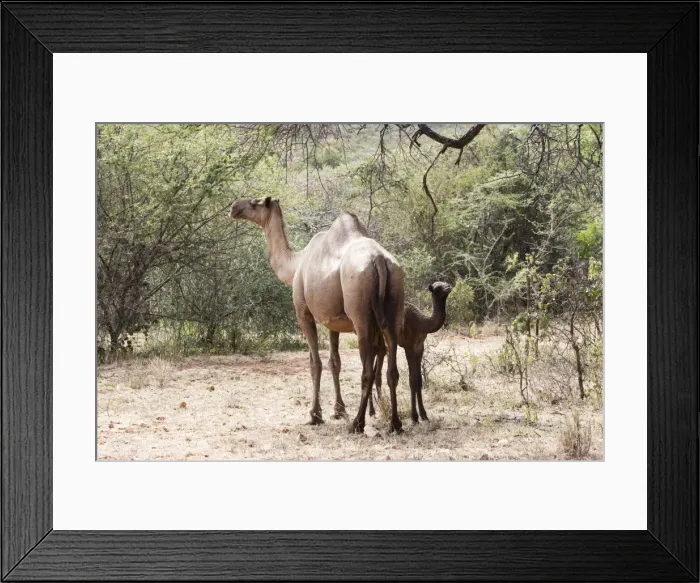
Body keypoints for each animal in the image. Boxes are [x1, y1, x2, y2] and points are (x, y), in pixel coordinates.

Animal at [229, 196, 405, 433]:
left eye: (255, 202)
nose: (234, 208)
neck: (295, 265)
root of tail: (378, 259)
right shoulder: (333, 321)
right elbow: (334, 362)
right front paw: (338, 410)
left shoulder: (303, 312)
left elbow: (315, 364)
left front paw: (315, 414)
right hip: (395, 305)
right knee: (392, 368)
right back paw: (395, 423)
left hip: (361, 317)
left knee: (367, 369)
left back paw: (357, 423)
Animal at [370, 281, 453, 423]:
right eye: (438, 288)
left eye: (446, 283)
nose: (449, 288)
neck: (422, 322)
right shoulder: (409, 346)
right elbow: (412, 380)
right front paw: (414, 417)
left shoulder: (419, 347)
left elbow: (419, 380)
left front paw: (424, 415)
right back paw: (372, 411)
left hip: (381, 342)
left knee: (377, 367)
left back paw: (378, 407)